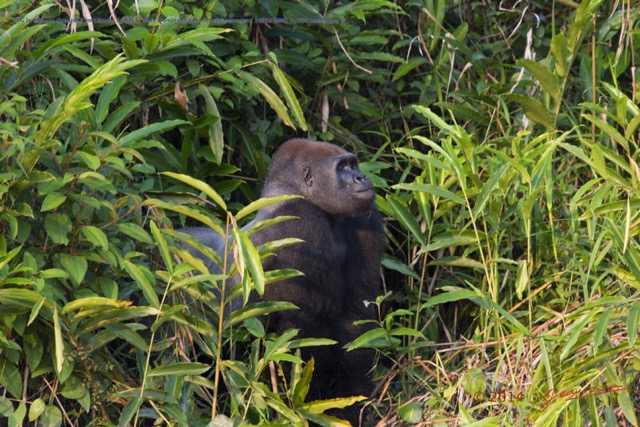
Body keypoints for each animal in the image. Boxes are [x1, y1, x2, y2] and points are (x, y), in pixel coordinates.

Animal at [180, 140, 382, 424]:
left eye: (353, 165)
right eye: (343, 168)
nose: (361, 178)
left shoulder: (363, 216)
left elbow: (355, 319)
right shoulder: (303, 222)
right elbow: (310, 332)